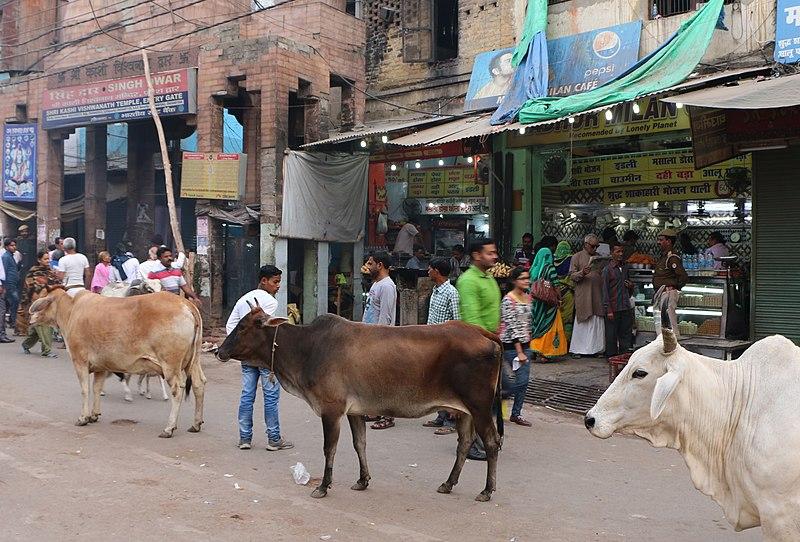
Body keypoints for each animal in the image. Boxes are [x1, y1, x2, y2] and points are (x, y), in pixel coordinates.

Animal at [30, 292, 206, 440]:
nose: (31, 318)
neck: (71, 310)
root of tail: (185, 303)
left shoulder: (80, 361)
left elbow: (85, 390)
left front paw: (83, 418)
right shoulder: (101, 366)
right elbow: (96, 388)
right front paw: (94, 415)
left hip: (170, 365)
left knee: (177, 390)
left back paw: (169, 428)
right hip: (193, 361)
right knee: (199, 384)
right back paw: (196, 424)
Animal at [217, 308, 506, 504]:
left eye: (243, 327)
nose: (219, 351)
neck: (307, 348)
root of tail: (480, 331)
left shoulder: (331, 409)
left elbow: (330, 448)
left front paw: (323, 486)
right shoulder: (354, 411)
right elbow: (360, 444)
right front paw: (362, 480)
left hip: (480, 407)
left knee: (492, 443)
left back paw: (487, 490)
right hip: (464, 411)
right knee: (464, 443)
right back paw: (448, 483)